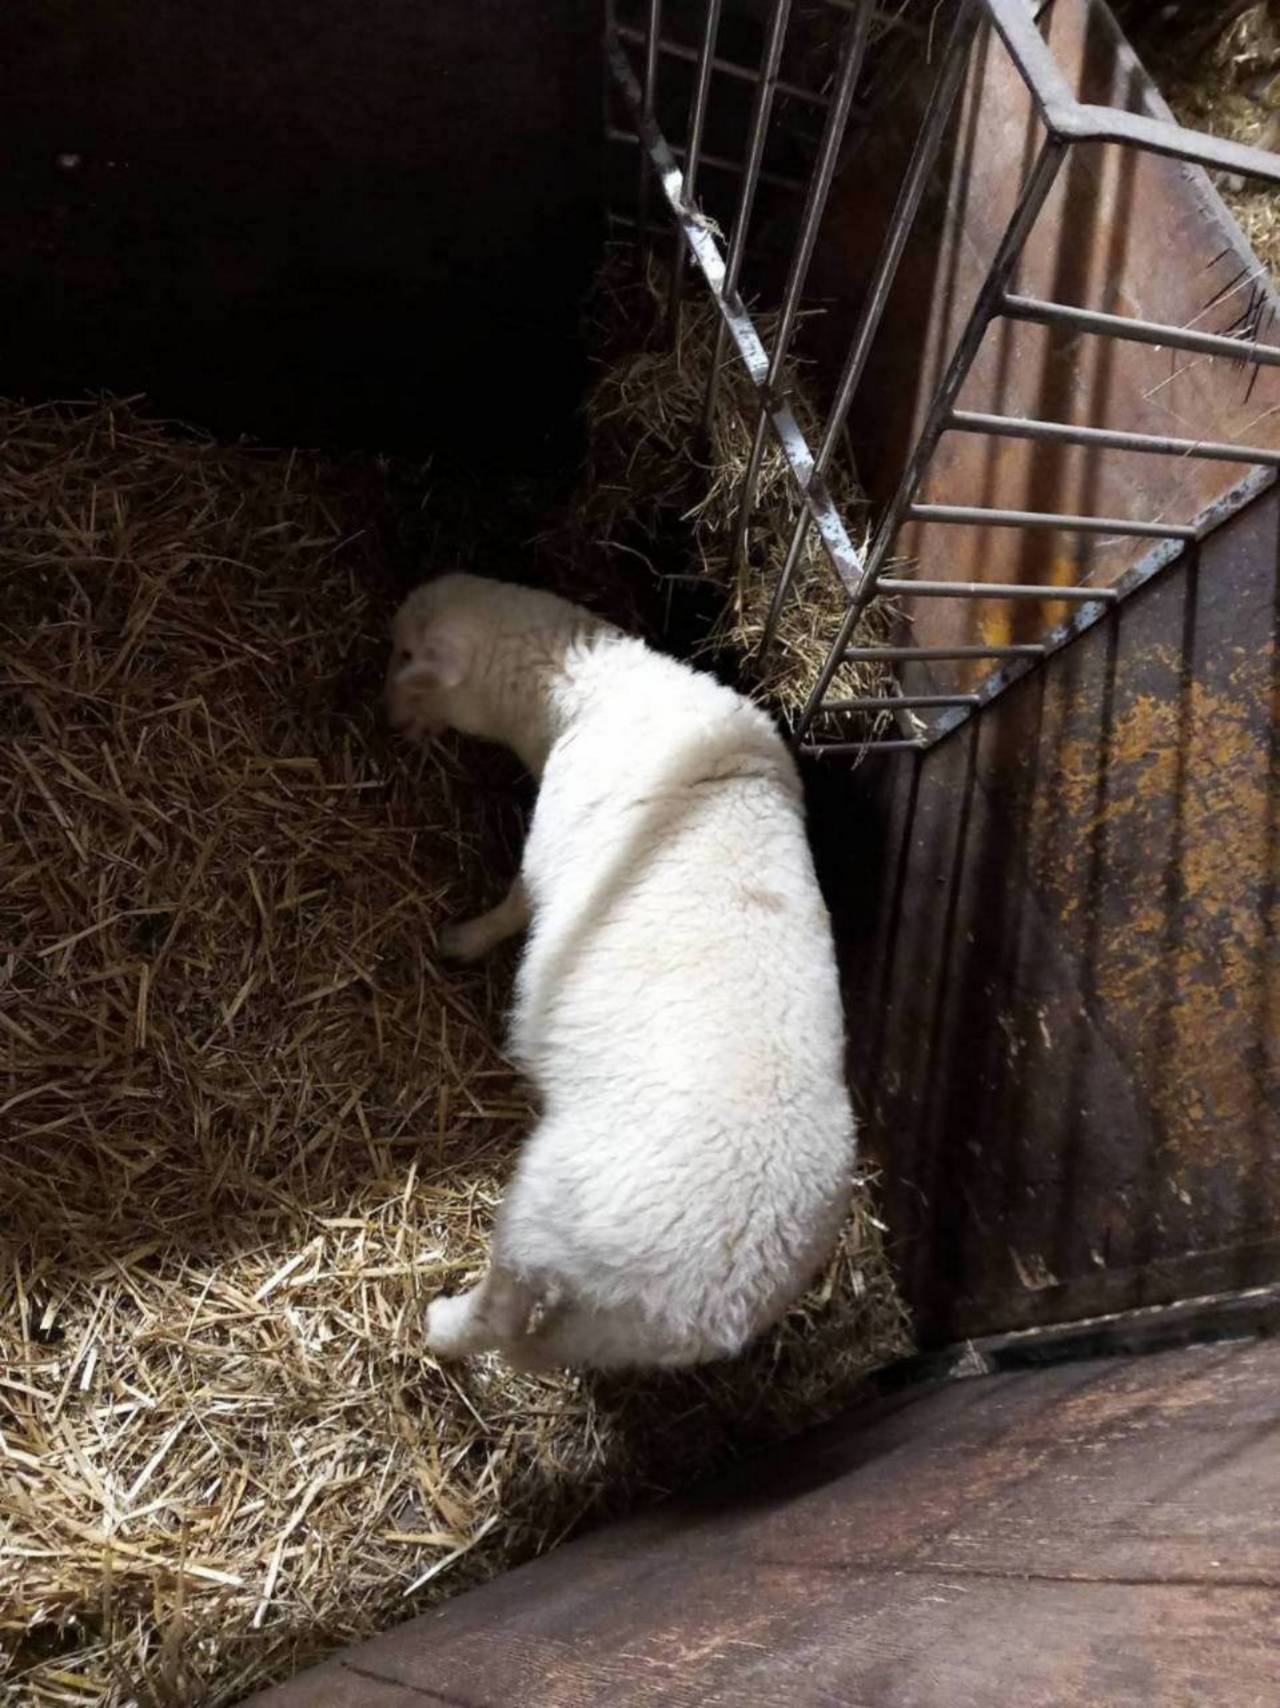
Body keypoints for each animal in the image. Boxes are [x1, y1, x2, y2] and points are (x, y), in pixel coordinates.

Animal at [387, 573, 857, 1370]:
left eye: (405, 654)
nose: (383, 714)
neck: (589, 684)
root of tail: (712, 1301)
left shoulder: (549, 844)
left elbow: (519, 900)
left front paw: (463, 939)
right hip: (607, 1324)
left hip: (546, 1211)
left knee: (499, 1315)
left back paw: (443, 1325)